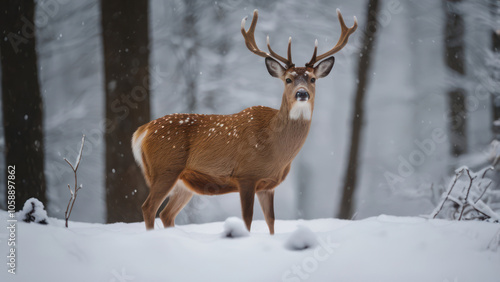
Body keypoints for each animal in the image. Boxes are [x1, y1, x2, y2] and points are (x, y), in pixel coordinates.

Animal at [131, 8, 358, 234]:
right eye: (288, 79)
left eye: (312, 79)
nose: (302, 94)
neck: (276, 150)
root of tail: (142, 131)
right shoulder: (247, 174)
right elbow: (247, 218)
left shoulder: (268, 185)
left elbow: (271, 220)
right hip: (165, 168)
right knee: (149, 207)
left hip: (183, 183)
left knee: (166, 213)